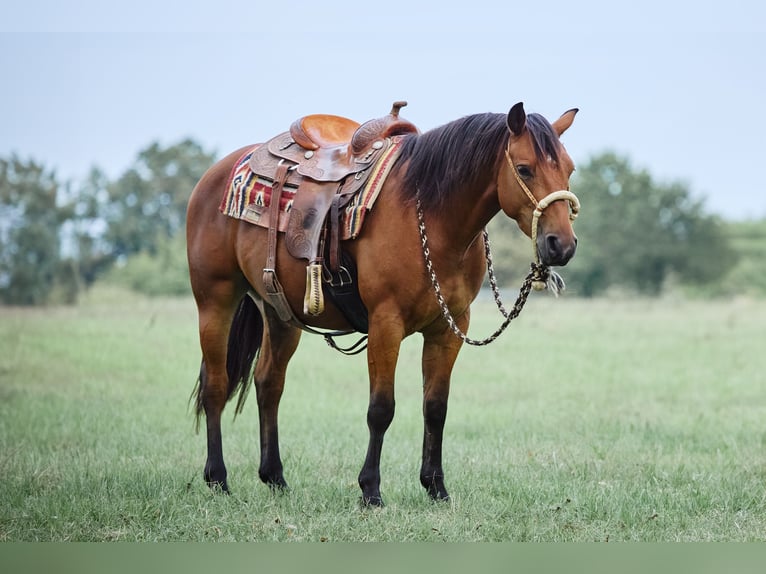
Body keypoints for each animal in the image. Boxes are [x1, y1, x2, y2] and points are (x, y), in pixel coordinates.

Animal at [188, 101, 584, 506]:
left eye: (568, 169)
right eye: (524, 168)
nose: (562, 245)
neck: (433, 220)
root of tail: (219, 171)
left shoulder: (450, 327)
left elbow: (435, 407)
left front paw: (436, 487)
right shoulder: (386, 323)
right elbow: (381, 409)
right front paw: (370, 490)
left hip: (279, 313)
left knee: (269, 383)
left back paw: (275, 478)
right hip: (215, 300)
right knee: (216, 385)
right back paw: (217, 478)